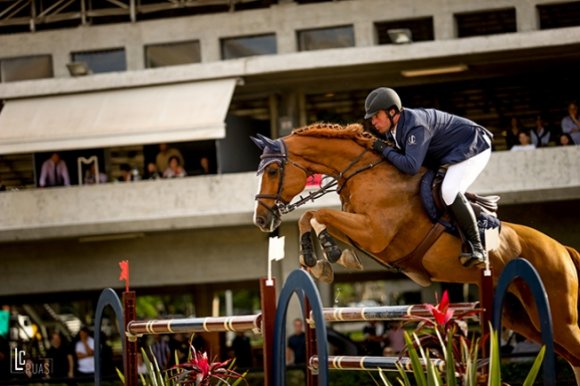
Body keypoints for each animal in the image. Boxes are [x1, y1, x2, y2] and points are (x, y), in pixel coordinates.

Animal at [251, 122, 580, 382]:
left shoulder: (374, 232)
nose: (261, 220)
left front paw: (329, 255)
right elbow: (310, 217)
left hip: (558, 315)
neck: (363, 173)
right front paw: (318, 259)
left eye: (272, 170)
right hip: (524, 318)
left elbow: (319, 214)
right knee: (571, 357)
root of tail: (562, 248)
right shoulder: (362, 230)